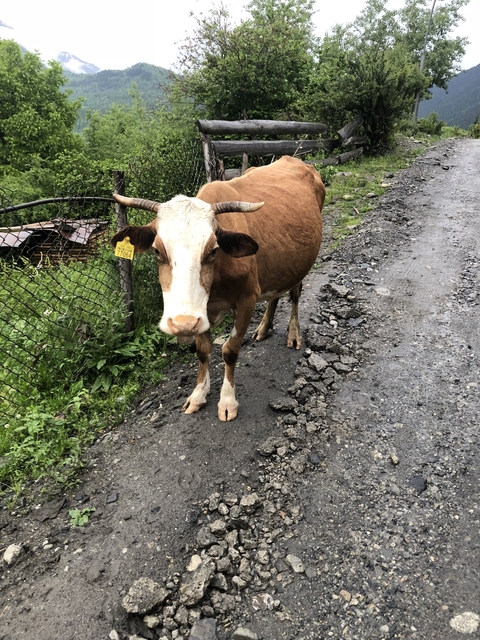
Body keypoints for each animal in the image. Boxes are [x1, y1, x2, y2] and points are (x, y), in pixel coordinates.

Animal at [111, 155, 325, 421]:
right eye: (157, 250)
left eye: (213, 250)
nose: (180, 323)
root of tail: (293, 159)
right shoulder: (200, 313)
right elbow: (203, 351)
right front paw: (198, 394)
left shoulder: (246, 299)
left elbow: (229, 350)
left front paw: (227, 401)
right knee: (275, 293)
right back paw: (263, 327)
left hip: (302, 262)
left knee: (295, 293)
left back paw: (293, 334)